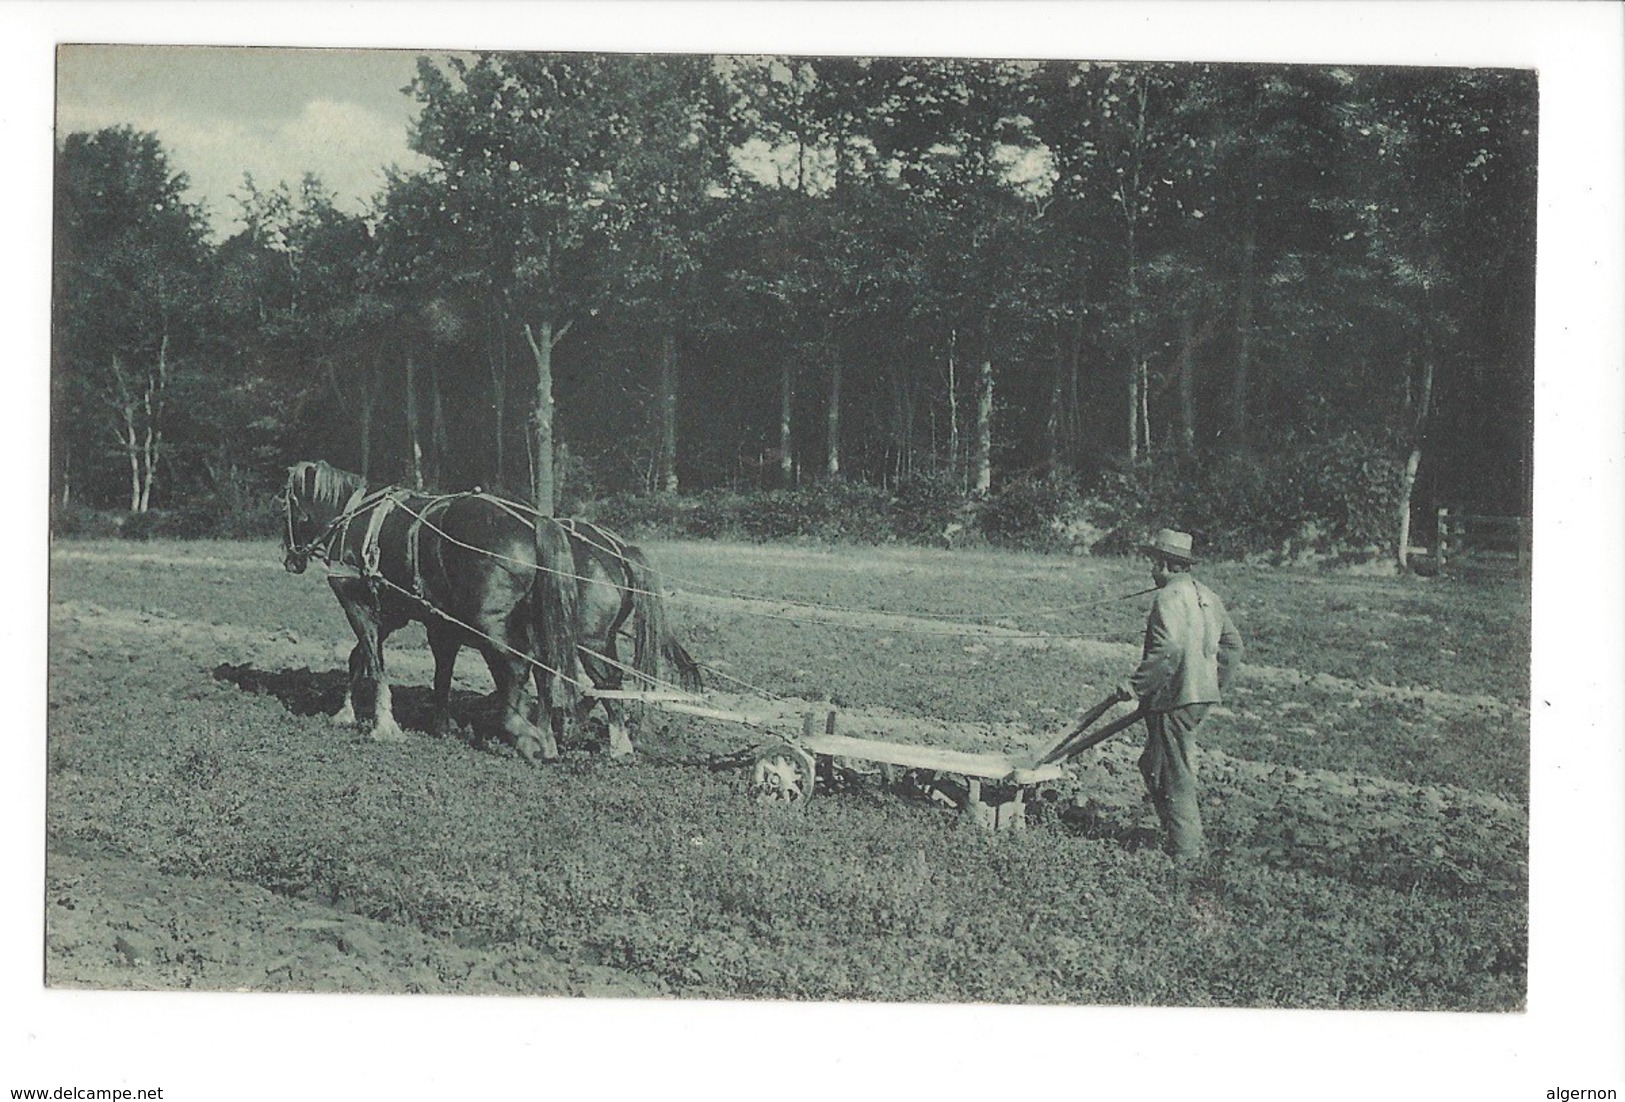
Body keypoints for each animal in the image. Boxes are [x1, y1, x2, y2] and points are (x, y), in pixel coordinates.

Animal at [279, 461, 698, 763]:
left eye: (286, 505)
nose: (290, 559)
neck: (353, 518)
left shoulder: (360, 603)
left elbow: (372, 662)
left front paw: (380, 724)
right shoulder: (419, 618)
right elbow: (427, 671)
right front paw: (438, 722)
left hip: (518, 628)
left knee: (535, 670)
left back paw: (534, 734)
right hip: (588, 637)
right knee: (579, 679)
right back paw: (579, 737)